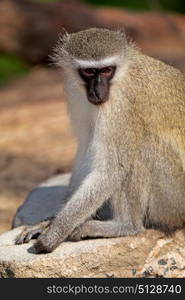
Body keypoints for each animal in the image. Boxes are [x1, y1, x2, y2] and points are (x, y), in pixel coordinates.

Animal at [14, 27, 185, 253]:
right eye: (89, 72)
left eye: (106, 71)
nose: (97, 90)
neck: (121, 76)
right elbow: (85, 151)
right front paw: (48, 223)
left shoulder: (120, 107)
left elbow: (112, 170)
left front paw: (56, 231)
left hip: (174, 198)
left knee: (139, 150)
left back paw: (125, 226)